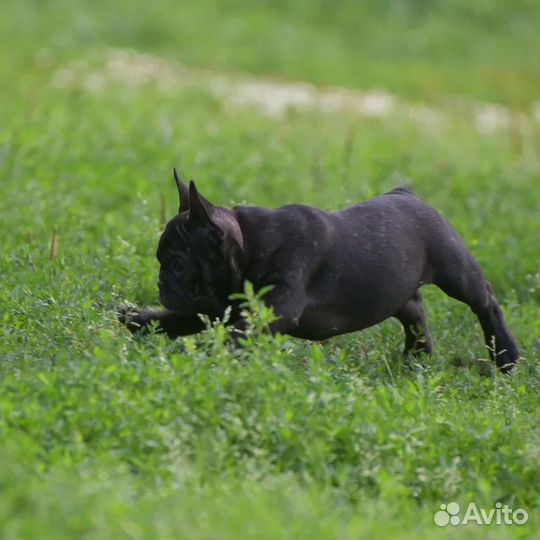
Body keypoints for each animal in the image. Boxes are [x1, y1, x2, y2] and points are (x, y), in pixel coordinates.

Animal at [121, 169, 520, 372]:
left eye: (177, 263)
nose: (161, 281)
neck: (248, 245)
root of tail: (405, 194)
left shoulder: (275, 309)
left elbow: (236, 335)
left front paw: (208, 355)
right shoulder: (220, 306)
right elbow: (178, 320)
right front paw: (138, 319)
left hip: (456, 270)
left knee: (484, 301)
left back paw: (506, 356)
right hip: (395, 292)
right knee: (415, 312)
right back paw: (417, 357)